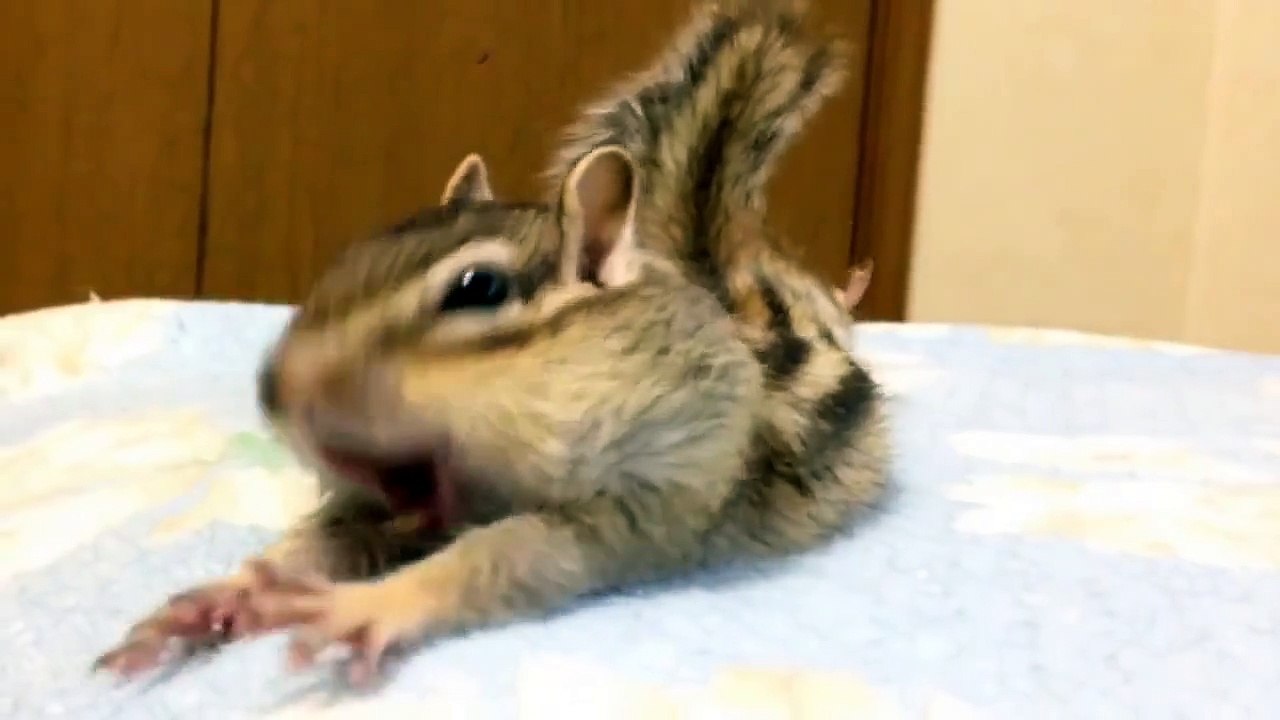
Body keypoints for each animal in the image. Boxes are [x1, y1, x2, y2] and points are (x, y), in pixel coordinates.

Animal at [94, 0, 890, 686]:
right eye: (346, 259)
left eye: (477, 288)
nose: (274, 391)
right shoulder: (383, 505)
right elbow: (316, 544)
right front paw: (219, 595)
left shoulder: (648, 498)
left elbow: (505, 558)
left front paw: (368, 607)